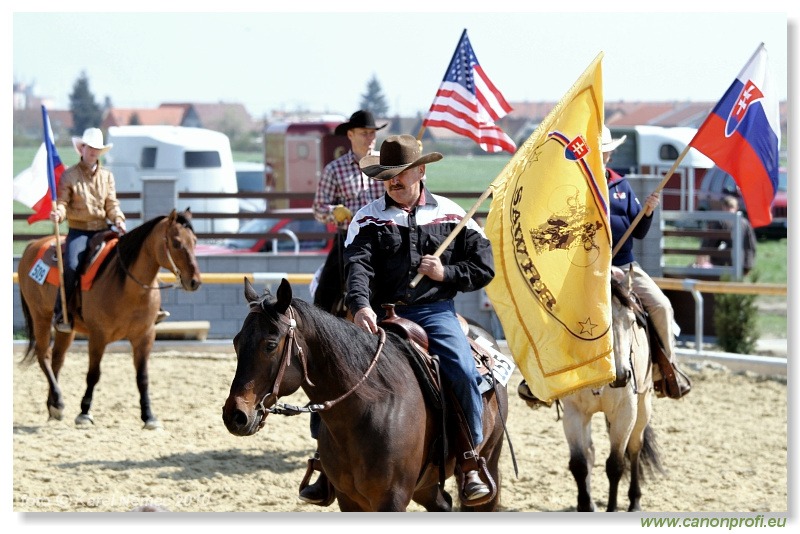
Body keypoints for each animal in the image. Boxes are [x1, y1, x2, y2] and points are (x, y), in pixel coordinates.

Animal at [17, 209, 202, 432]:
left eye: (195, 241)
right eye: (176, 243)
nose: (194, 281)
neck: (128, 287)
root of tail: (33, 244)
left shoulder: (145, 336)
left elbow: (143, 378)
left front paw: (149, 416)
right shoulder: (98, 336)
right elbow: (93, 374)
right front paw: (84, 413)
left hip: (66, 328)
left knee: (57, 359)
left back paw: (53, 406)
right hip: (40, 317)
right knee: (43, 355)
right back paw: (59, 402)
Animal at [220, 278, 506, 512]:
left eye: (270, 345)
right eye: (236, 342)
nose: (235, 415)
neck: (369, 408)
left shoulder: (391, 500)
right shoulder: (349, 500)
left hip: (490, 457)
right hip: (426, 484)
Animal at [556, 276, 664, 516]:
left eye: (632, 322)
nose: (622, 375)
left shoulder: (625, 412)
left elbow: (615, 465)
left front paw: (612, 508)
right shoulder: (573, 413)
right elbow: (579, 464)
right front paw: (585, 506)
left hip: (643, 405)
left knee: (634, 448)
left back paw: (634, 502)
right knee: (590, 451)